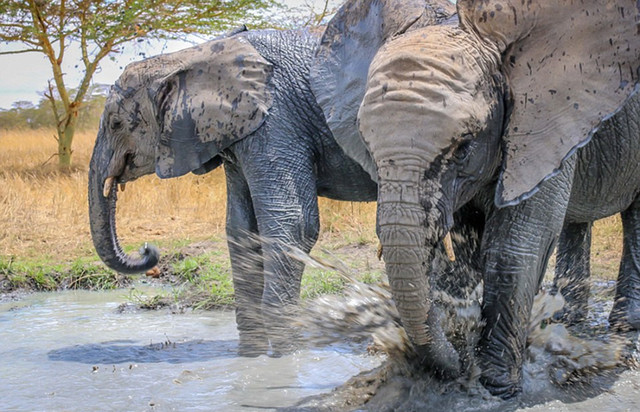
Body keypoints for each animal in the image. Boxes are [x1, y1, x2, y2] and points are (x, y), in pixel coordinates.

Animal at [89, 25, 380, 356]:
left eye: (116, 123)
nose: (147, 249)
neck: (190, 58)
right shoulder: (235, 134)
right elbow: (240, 229)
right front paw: (251, 358)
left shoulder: (277, 122)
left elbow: (292, 224)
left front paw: (285, 359)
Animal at [312, 0, 640, 400]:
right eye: (366, 142)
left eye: (465, 144)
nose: (454, 363)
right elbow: (468, 247)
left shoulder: (540, 119)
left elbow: (515, 245)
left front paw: (496, 385)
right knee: (577, 224)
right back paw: (564, 319)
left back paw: (623, 327)